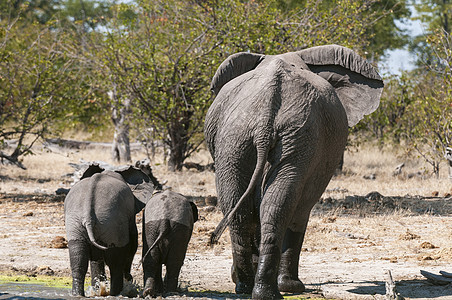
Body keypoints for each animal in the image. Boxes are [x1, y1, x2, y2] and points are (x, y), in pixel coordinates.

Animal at [63, 165, 155, 296]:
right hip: (111, 221)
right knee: (115, 262)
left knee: (78, 259)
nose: (130, 277)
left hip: (76, 222)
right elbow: (133, 242)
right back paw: (116, 293)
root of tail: (88, 216)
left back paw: (78, 294)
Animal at [206, 43, 384, 298]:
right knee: (278, 206)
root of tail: (266, 111)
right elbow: (301, 209)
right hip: (289, 135)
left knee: (241, 207)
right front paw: (293, 286)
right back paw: (273, 290)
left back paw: (249, 288)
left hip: (240, 137)